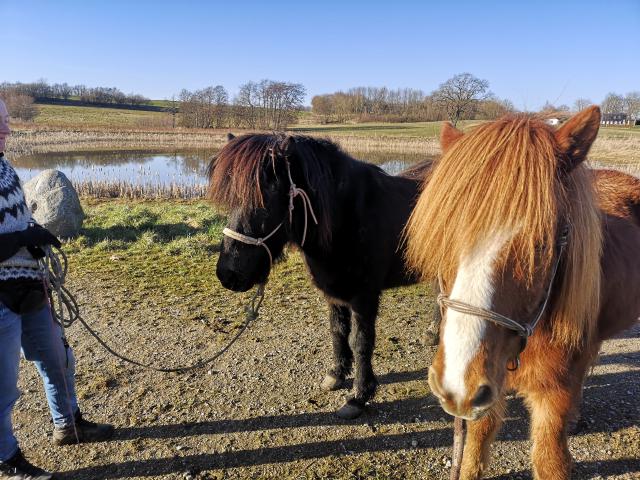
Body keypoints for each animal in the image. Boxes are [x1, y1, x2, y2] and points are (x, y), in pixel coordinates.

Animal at [208, 133, 432, 418]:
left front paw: (359, 396)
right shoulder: (333, 292)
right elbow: (337, 331)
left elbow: (361, 341)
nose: (228, 274)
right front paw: (336, 375)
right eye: (230, 198)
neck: (348, 218)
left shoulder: (365, 297)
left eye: (268, 197)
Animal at [404, 108, 640, 480]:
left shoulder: (551, 394)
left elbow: (549, 460)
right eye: (443, 234)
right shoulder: (490, 382)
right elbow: (475, 448)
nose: (457, 385)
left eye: (541, 244)